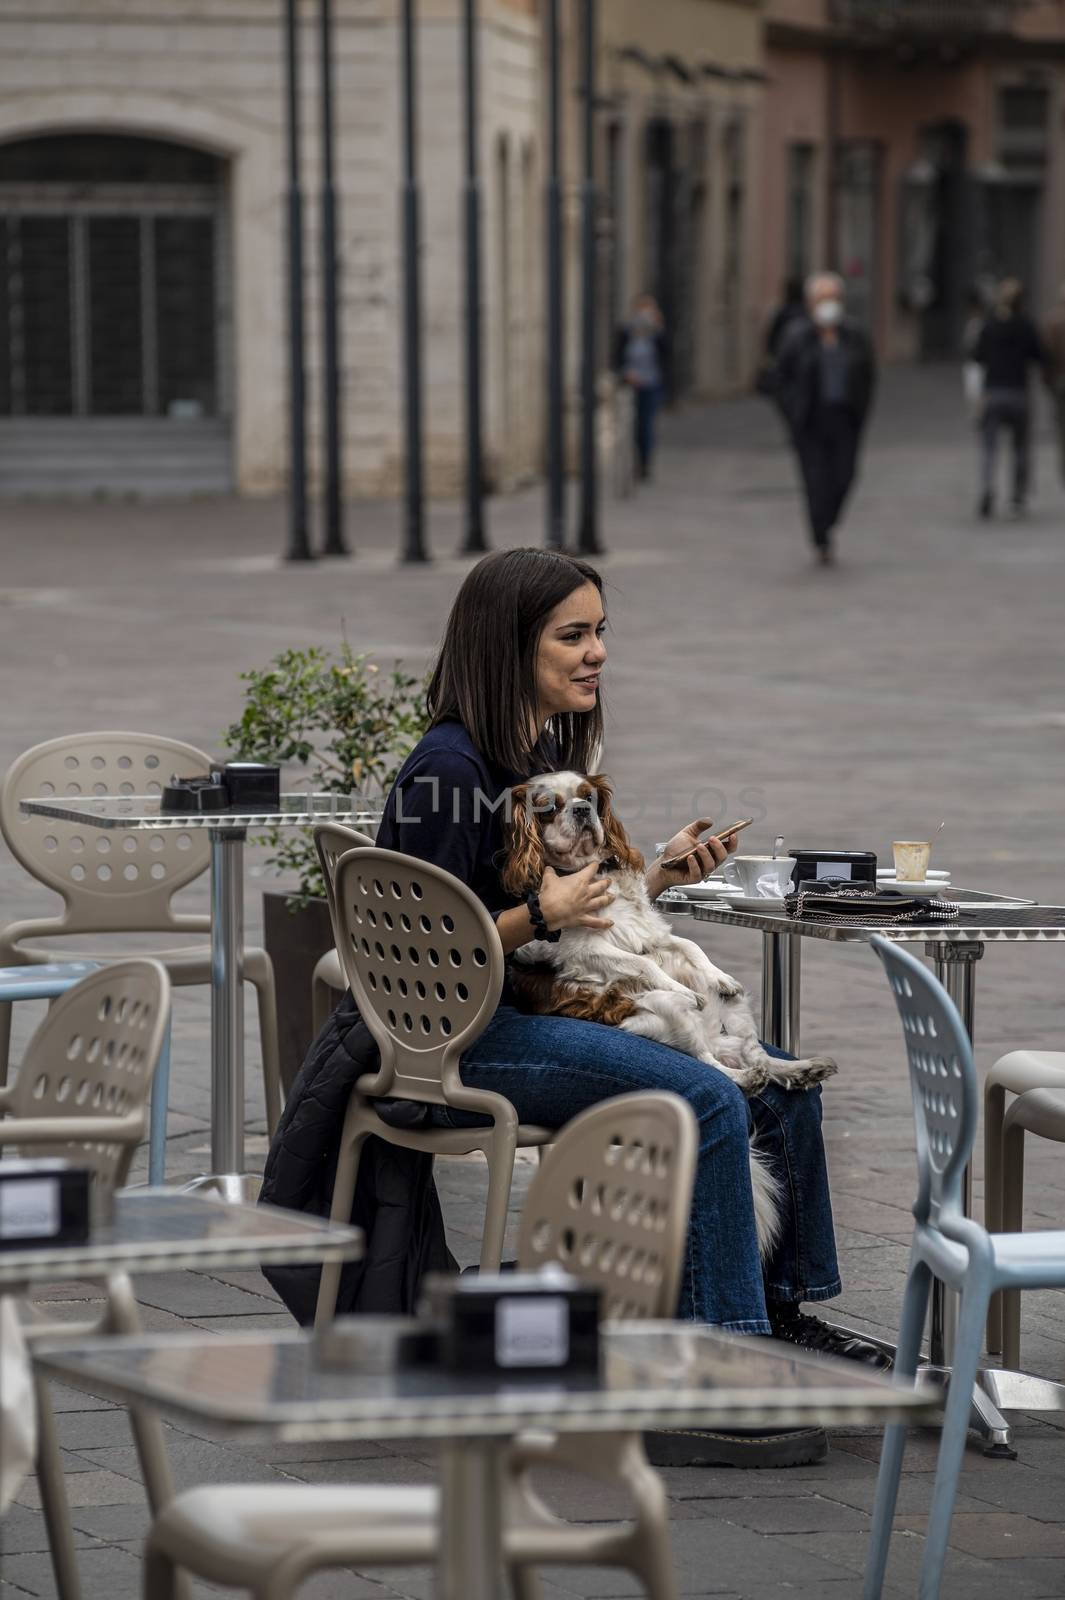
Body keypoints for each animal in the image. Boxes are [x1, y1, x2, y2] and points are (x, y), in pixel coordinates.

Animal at [498, 768, 837, 1254]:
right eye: (549, 807)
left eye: (588, 798)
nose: (581, 812)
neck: (590, 873)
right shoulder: (587, 951)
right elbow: (643, 964)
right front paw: (680, 984)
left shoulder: (658, 936)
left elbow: (688, 946)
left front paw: (718, 975)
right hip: (663, 1012)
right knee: (714, 1064)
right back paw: (740, 1072)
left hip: (736, 1015)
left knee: (756, 1055)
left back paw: (800, 1067)